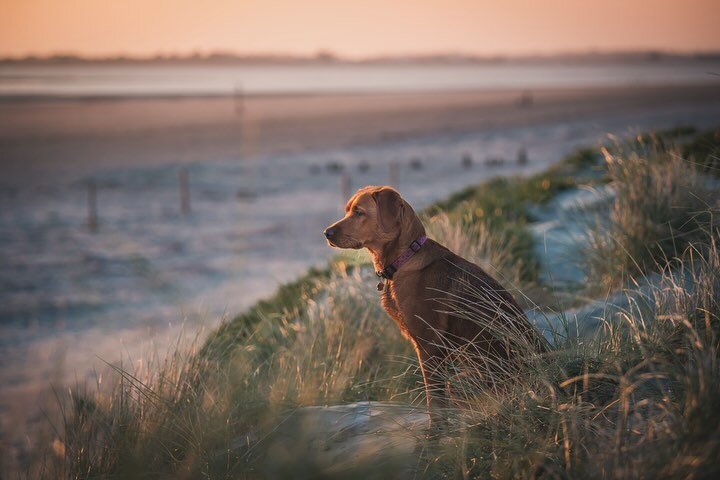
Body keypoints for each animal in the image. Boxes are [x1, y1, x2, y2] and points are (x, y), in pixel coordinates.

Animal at [324, 186, 548, 422]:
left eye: (359, 212)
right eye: (348, 210)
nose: (326, 233)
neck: (405, 257)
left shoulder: (428, 343)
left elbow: (434, 397)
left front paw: (435, 428)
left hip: (466, 377)